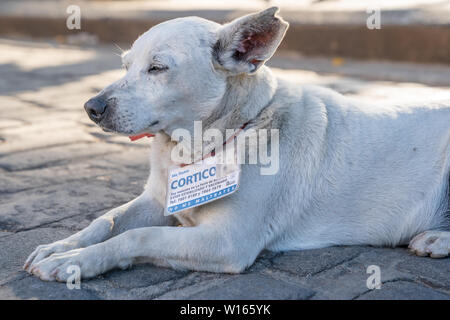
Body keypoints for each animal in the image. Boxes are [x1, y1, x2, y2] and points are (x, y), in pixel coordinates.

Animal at [23, 7, 446, 282]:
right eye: (126, 65)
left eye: (157, 68)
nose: (91, 107)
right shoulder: (157, 201)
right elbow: (106, 220)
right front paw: (62, 246)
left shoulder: (226, 242)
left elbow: (136, 236)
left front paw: (75, 262)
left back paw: (437, 238)